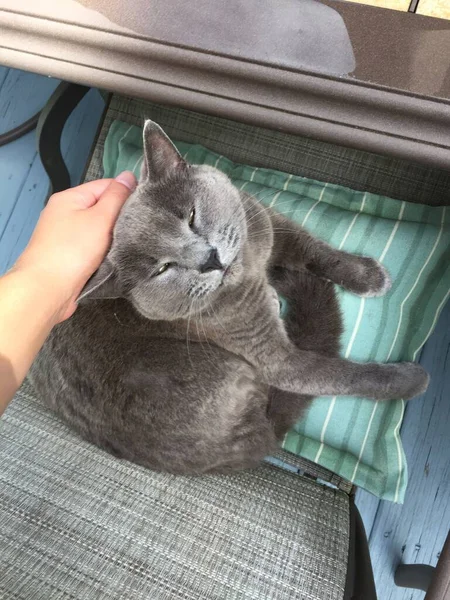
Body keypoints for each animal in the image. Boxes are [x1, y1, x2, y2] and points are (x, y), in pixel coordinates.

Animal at [29, 120, 428, 474]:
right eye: (161, 269)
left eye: (190, 215)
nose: (209, 259)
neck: (250, 269)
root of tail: (256, 445)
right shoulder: (273, 357)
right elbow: (336, 374)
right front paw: (409, 381)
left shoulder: (267, 223)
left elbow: (317, 252)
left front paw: (369, 276)